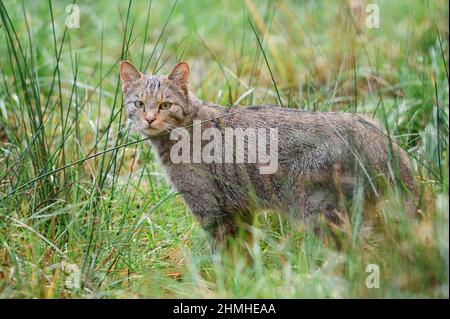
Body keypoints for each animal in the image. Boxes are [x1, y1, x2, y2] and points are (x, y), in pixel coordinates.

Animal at [118, 60, 414, 245]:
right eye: (139, 103)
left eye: (165, 105)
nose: (149, 119)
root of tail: (379, 134)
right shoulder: (240, 210)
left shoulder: (210, 208)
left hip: (321, 210)